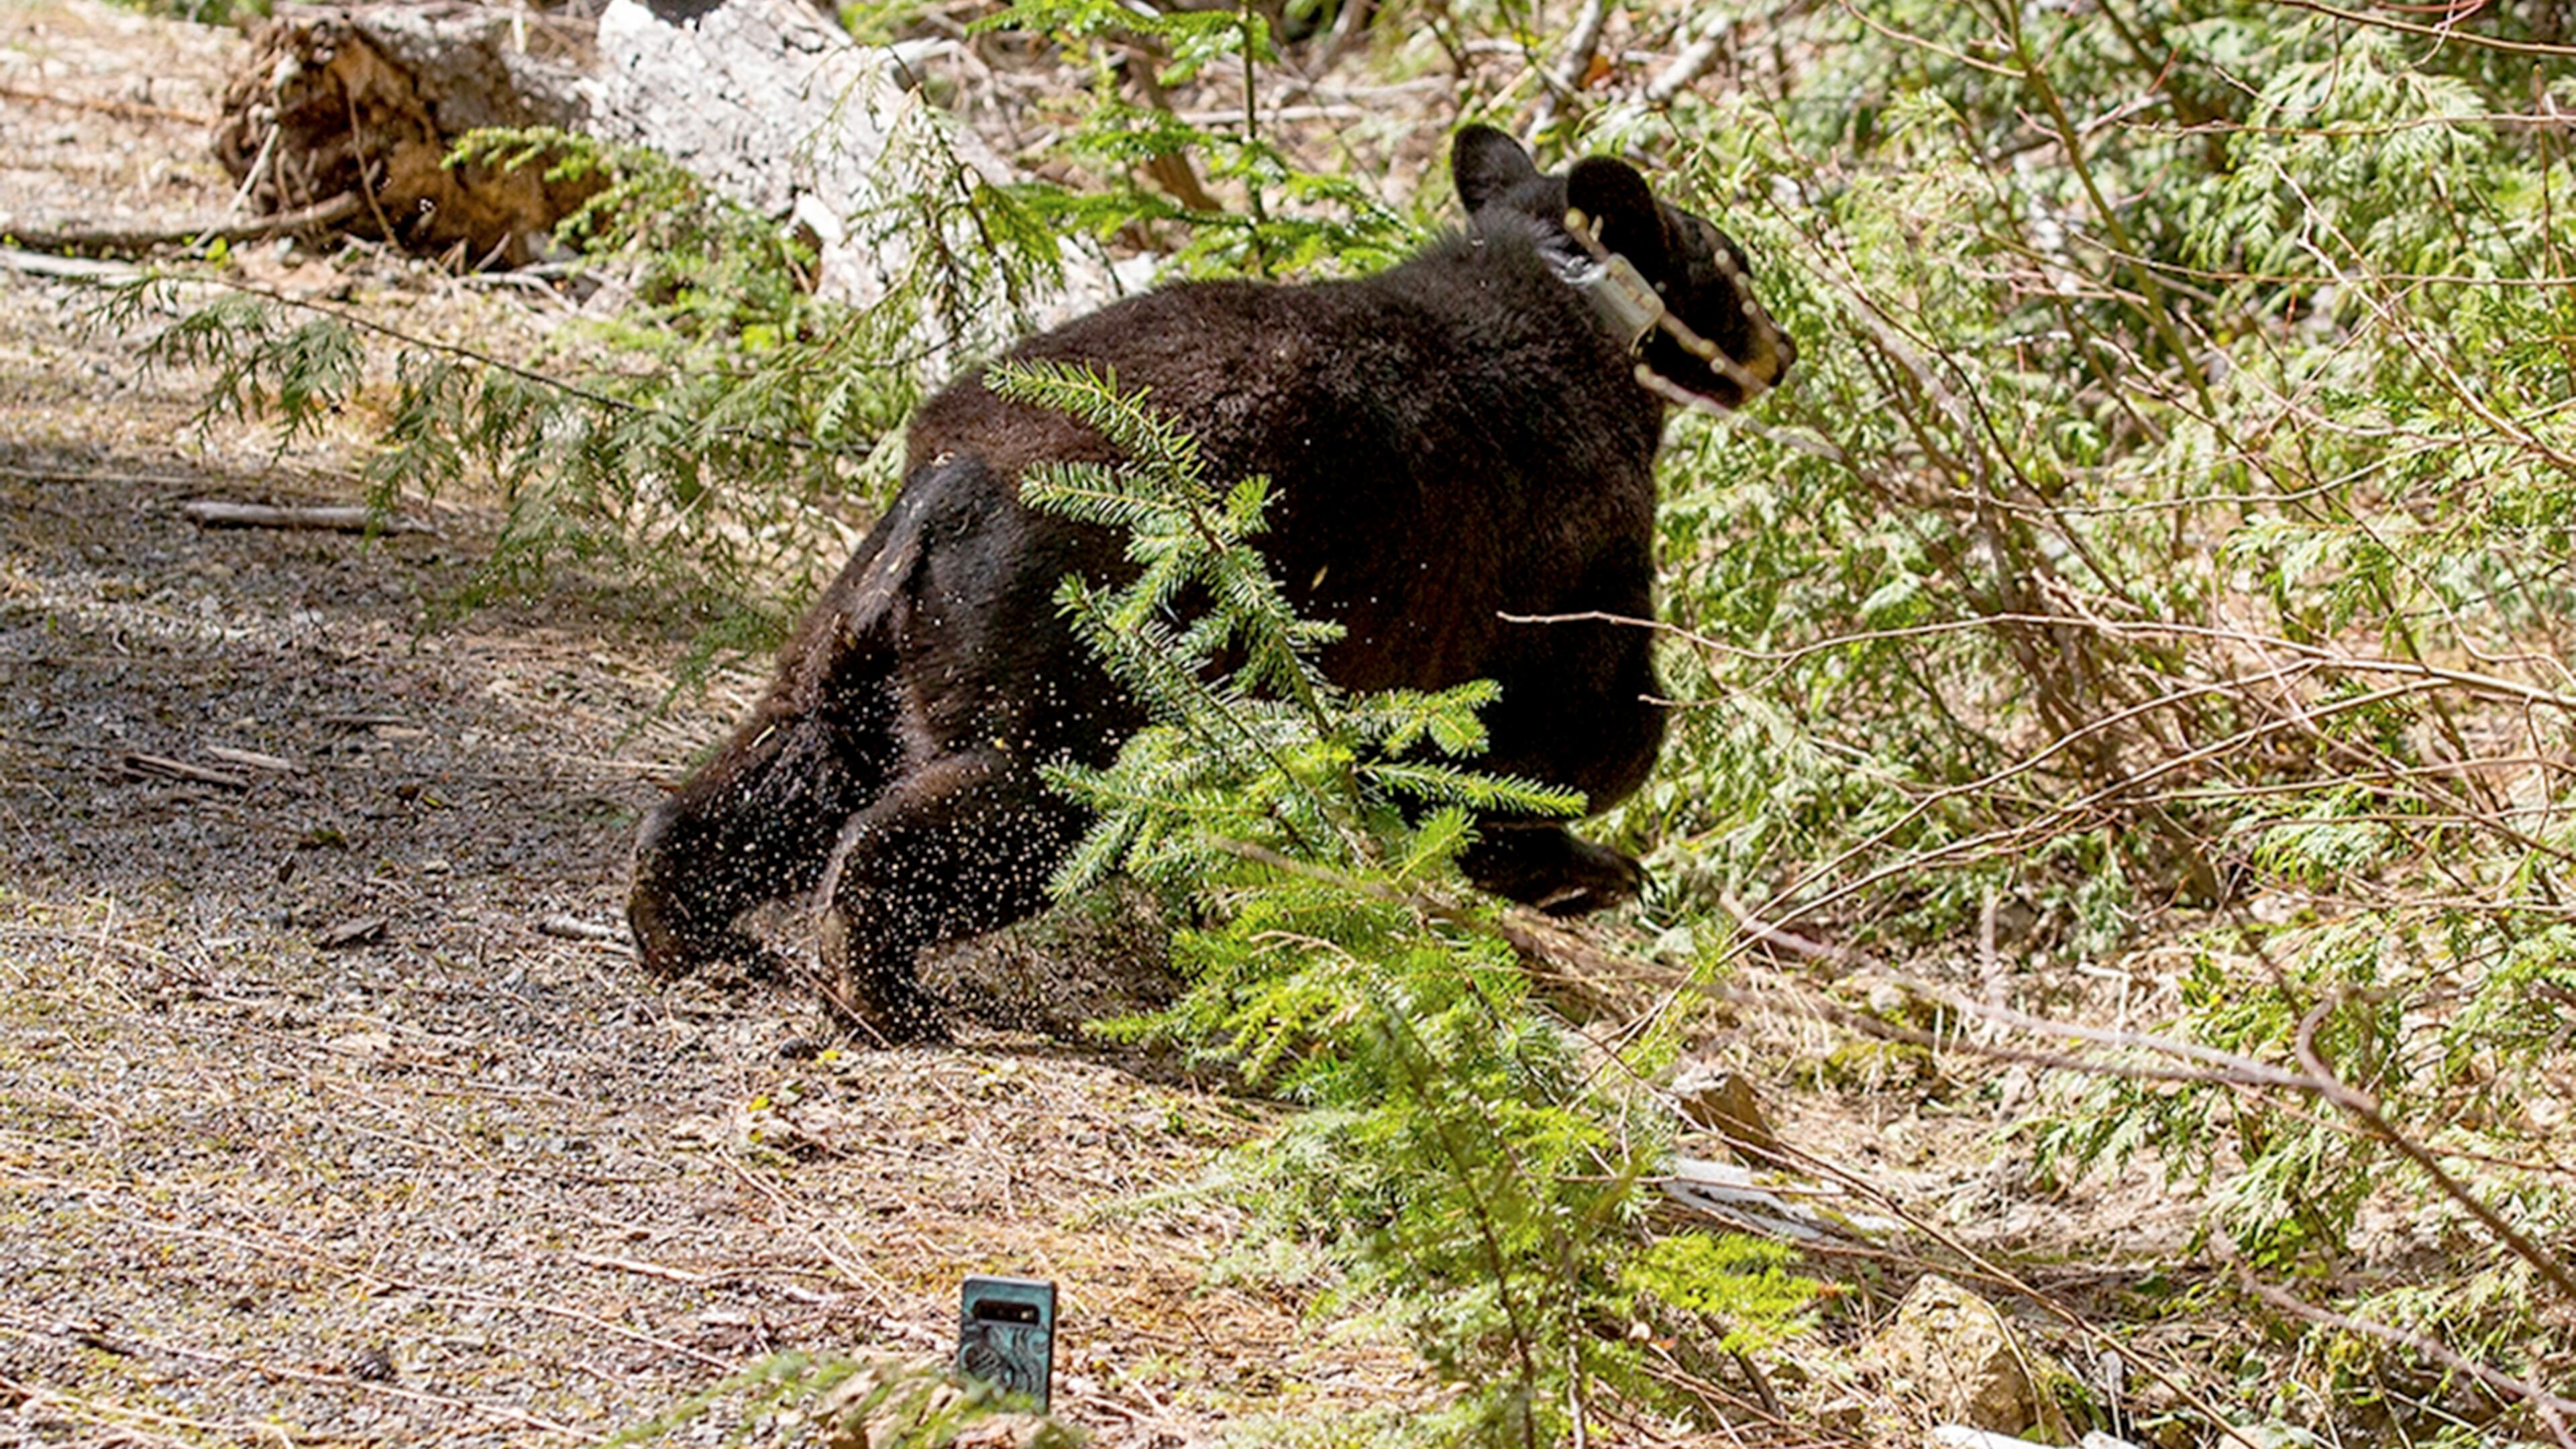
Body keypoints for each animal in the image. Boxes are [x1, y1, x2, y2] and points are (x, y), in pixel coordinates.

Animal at [628, 125, 1795, 1042]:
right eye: (1739, 267)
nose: (1783, 350)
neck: (1574, 306)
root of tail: (955, 486)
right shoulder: (1562, 537)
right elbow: (1572, 724)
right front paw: (1582, 860)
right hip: (1092, 660)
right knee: (1016, 808)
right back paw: (880, 983)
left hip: (865, 625)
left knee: (791, 761)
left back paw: (677, 913)